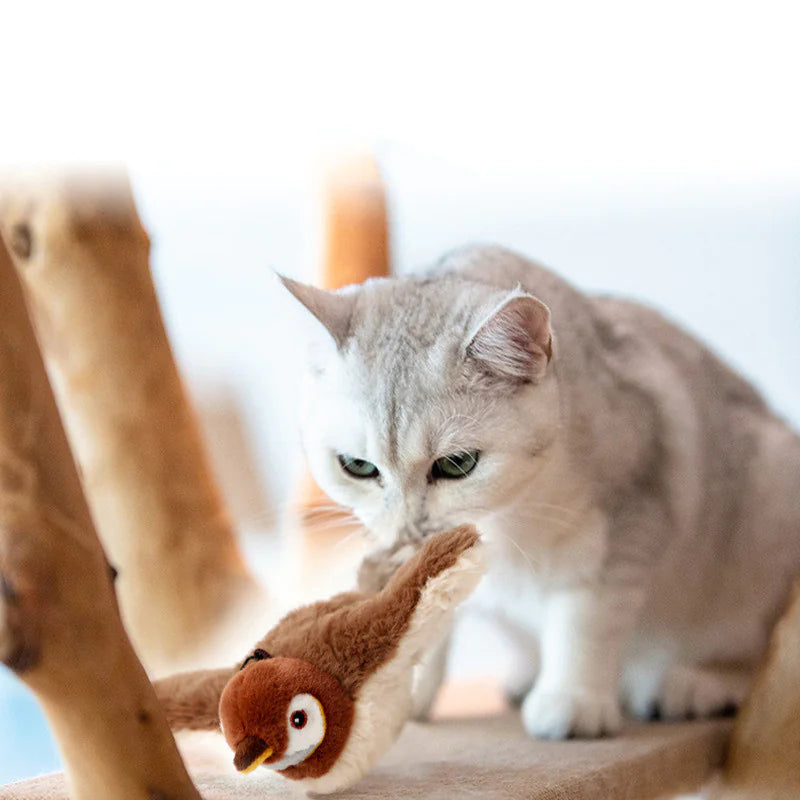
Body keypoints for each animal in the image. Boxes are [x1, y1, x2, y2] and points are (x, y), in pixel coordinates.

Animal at [280, 244, 800, 736]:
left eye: (456, 465)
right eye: (357, 467)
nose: (408, 526)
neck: (504, 518)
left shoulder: (628, 522)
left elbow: (586, 621)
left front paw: (573, 702)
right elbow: (424, 621)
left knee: (751, 654)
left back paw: (690, 684)